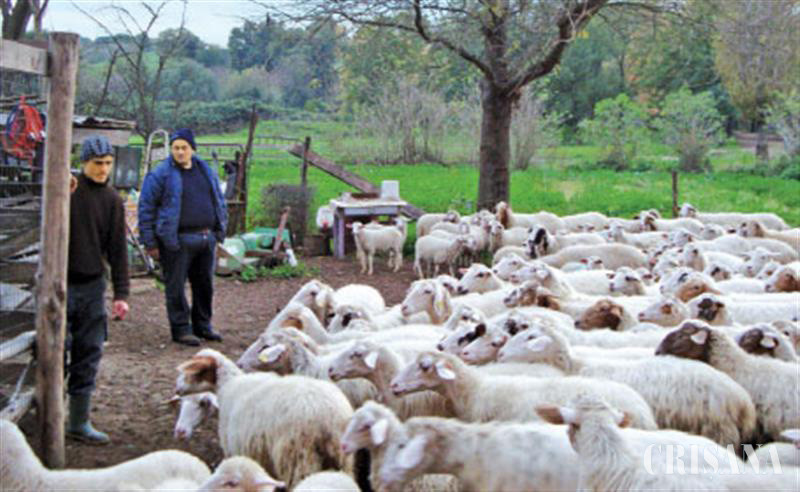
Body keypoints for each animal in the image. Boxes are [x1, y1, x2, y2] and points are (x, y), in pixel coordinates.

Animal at [175, 348, 354, 488]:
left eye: (196, 373)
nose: (177, 388)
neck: (228, 385)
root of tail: (327, 416)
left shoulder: (234, 448)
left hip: (298, 460)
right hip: (342, 458)